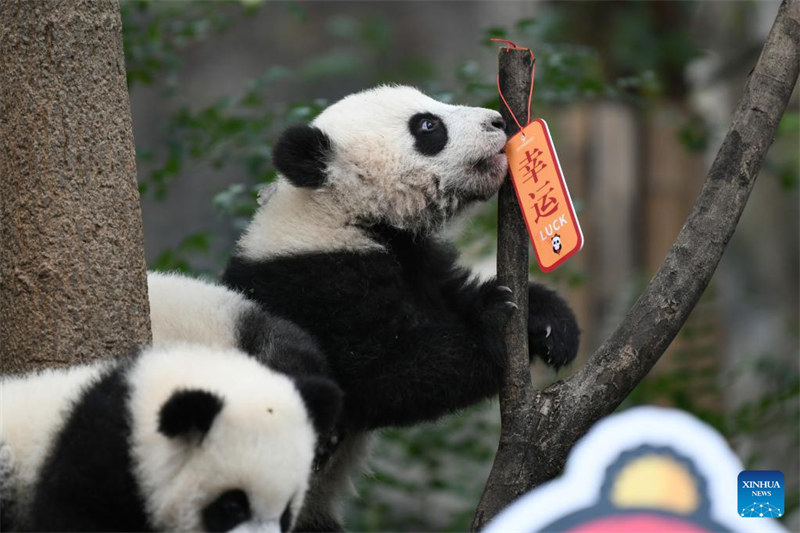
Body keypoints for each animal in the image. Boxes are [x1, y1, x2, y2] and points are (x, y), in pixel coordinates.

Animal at [219, 85, 580, 531]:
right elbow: (389, 374)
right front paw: (497, 321)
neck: (333, 213)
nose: (497, 120)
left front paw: (549, 324)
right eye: (428, 126)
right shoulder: (311, 289)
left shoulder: (416, 262)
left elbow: (451, 299)